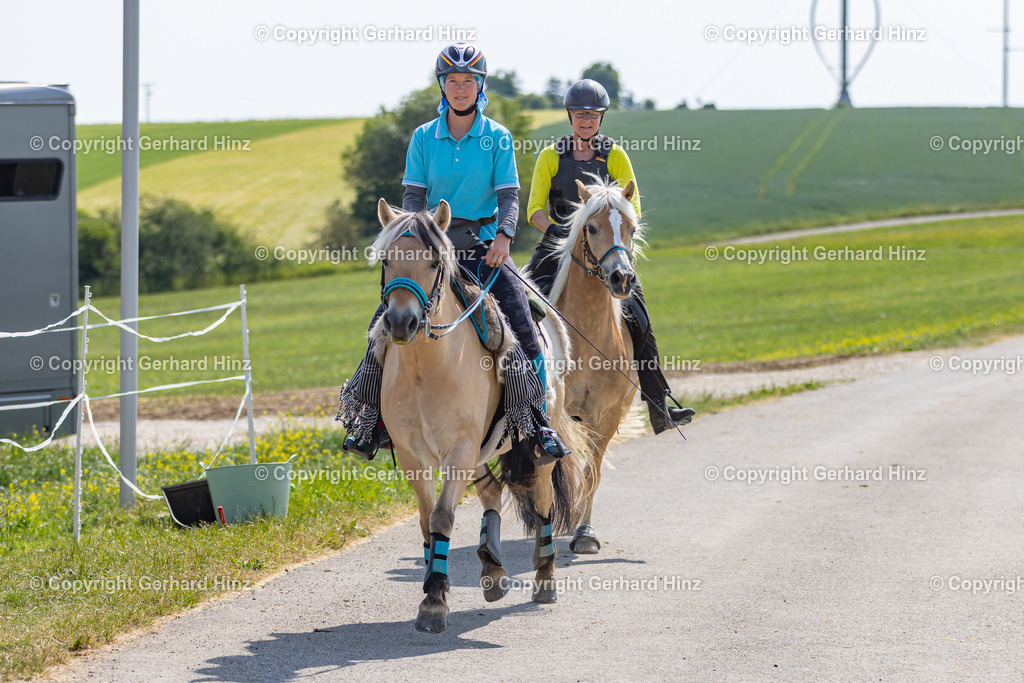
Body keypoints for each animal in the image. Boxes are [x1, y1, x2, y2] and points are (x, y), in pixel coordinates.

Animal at [532, 176, 643, 557]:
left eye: (631, 228)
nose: (622, 278)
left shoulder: (605, 417)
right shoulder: (556, 414)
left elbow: (590, 471)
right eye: (591, 228)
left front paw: (585, 533)